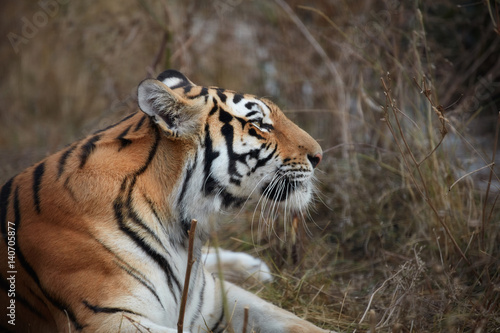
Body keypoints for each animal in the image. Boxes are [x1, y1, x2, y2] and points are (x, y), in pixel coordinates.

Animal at [0, 68, 332, 330]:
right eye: (260, 125)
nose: (319, 156)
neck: (180, 229)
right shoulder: (108, 317)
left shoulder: (213, 295)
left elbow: (294, 321)